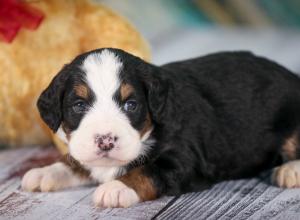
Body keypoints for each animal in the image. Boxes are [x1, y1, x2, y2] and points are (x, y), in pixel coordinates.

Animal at [22, 48, 300, 208]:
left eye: (131, 104)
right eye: (79, 105)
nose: (105, 141)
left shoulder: (185, 160)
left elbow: (147, 171)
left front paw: (117, 188)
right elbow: (78, 162)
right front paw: (45, 172)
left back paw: (290, 171)